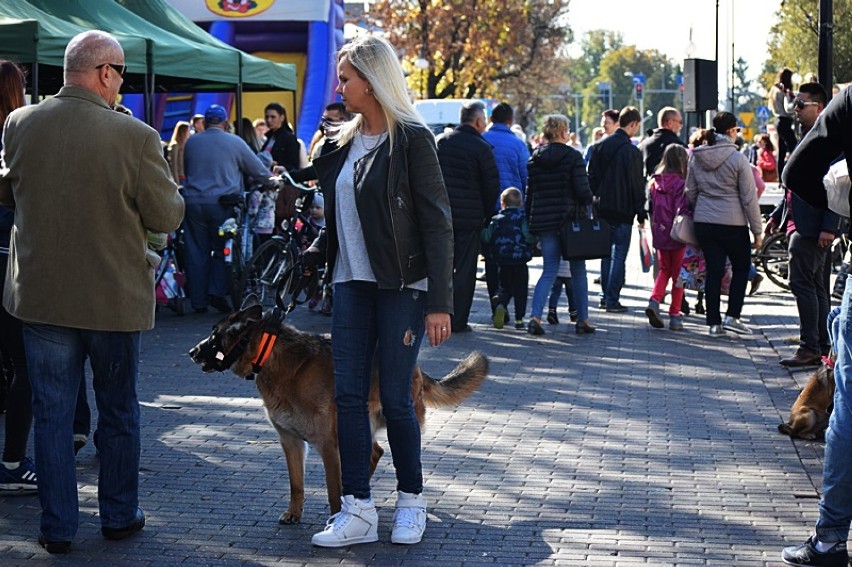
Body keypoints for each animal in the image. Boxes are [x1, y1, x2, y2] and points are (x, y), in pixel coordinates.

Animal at [190, 298, 490, 524]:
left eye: (214, 335)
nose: (192, 352)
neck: (271, 353)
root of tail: (415, 366)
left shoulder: (327, 445)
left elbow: (333, 489)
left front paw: (337, 517)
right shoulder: (291, 442)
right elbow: (296, 484)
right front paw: (294, 513)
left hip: (394, 423)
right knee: (374, 452)